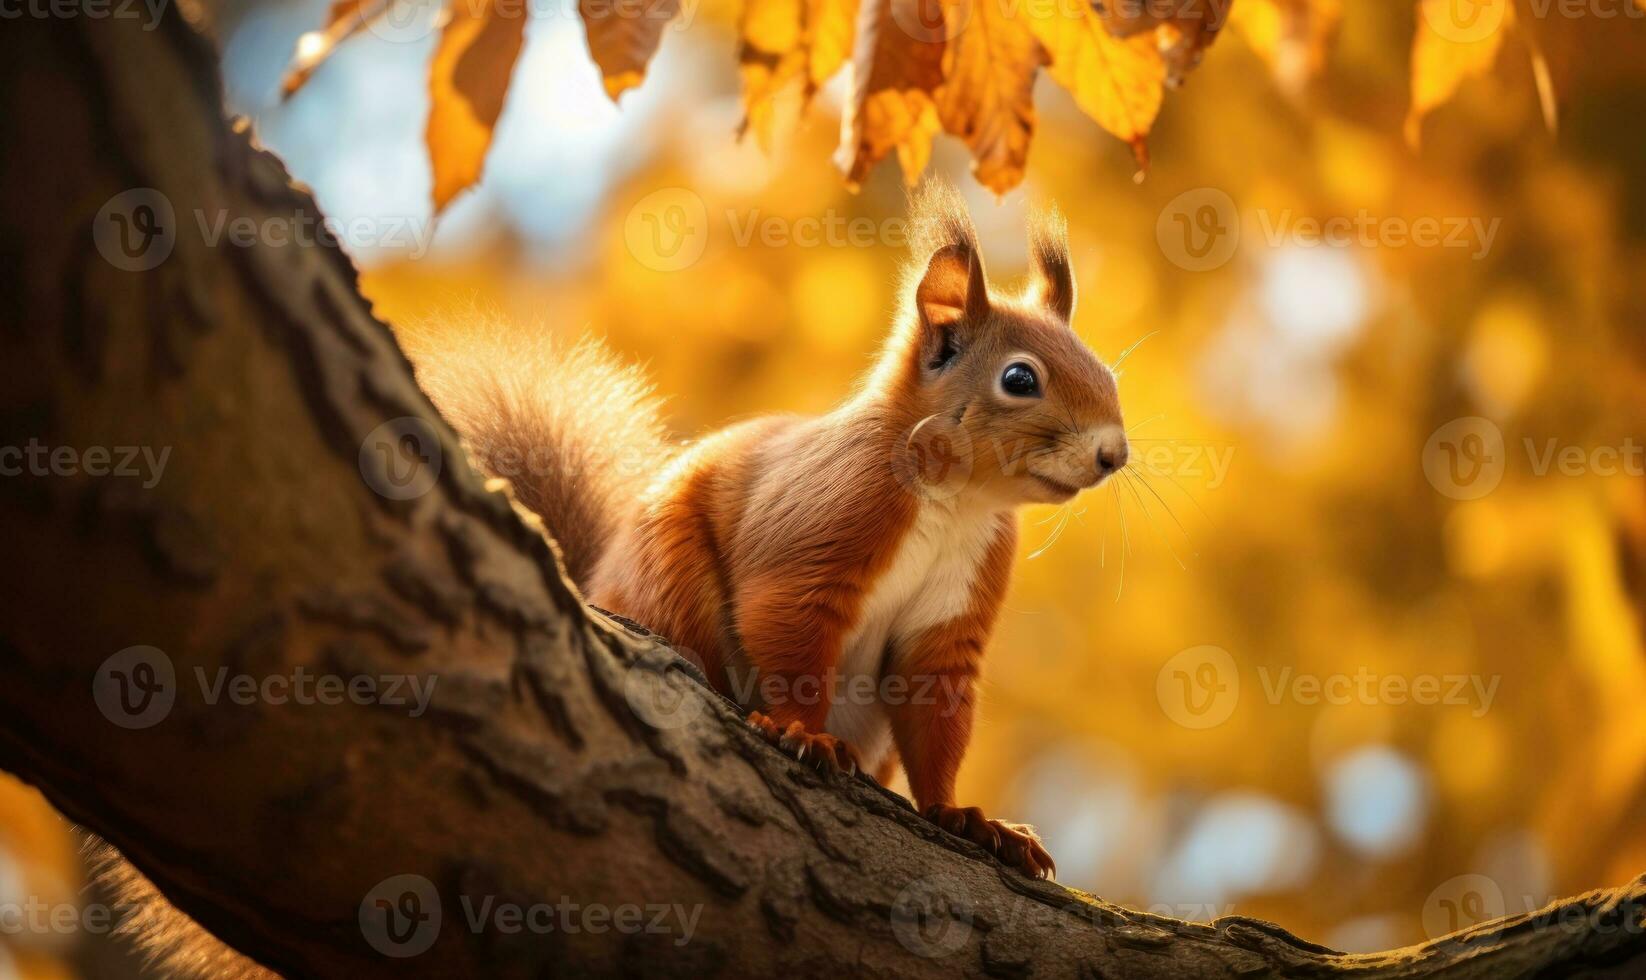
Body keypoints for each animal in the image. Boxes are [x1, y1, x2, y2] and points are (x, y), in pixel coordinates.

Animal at [414, 184, 1132, 882]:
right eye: (1019, 378)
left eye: (1107, 372)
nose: (1114, 454)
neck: (958, 502)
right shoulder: (825, 525)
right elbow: (787, 626)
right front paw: (802, 734)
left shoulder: (953, 616)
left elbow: (935, 707)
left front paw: (966, 817)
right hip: (668, 582)